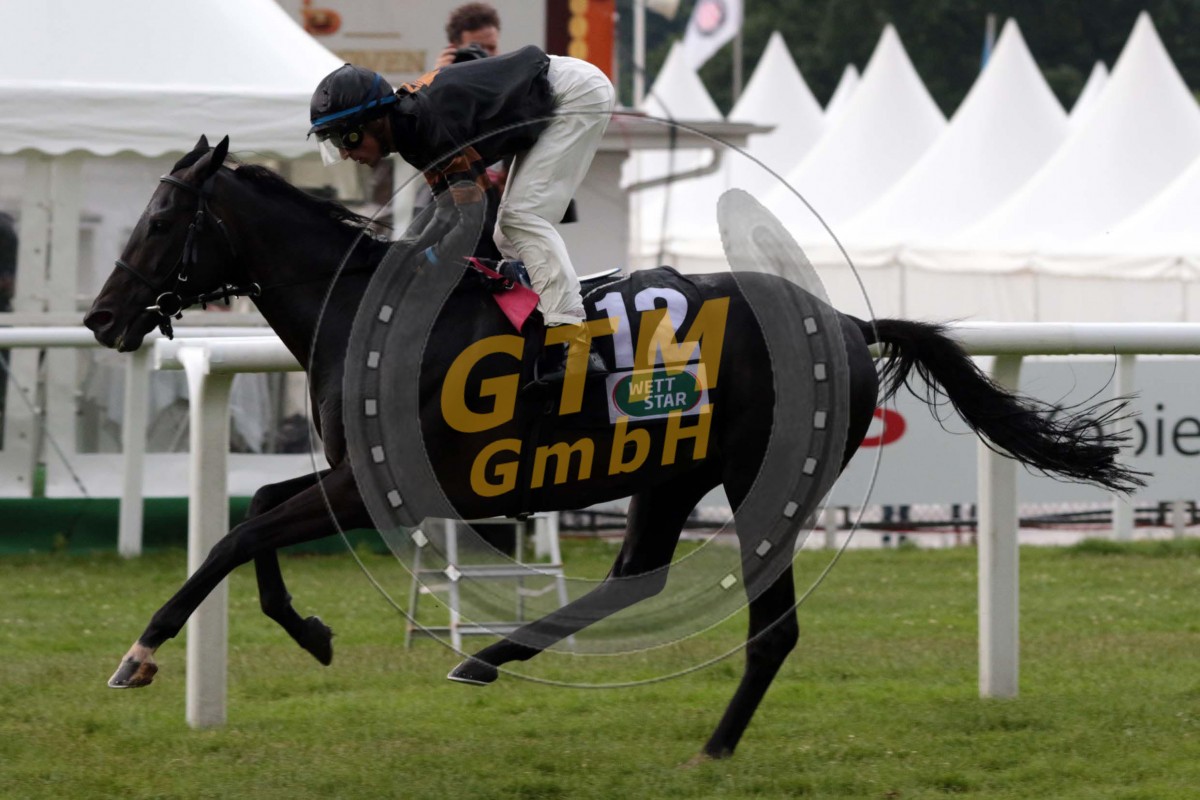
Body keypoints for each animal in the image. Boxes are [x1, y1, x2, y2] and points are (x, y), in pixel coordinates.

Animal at [84, 136, 1141, 759]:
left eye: (164, 215)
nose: (100, 317)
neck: (372, 316)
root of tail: (847, 319)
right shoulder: (359, 479)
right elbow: (259, 514)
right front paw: (308, 630)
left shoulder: (379, 484)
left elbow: (233, 536)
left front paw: (140, 653)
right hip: (670, 475)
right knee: (637, 576)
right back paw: (489, 658)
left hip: (762, 484)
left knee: (770, 628)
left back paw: (714, 750)